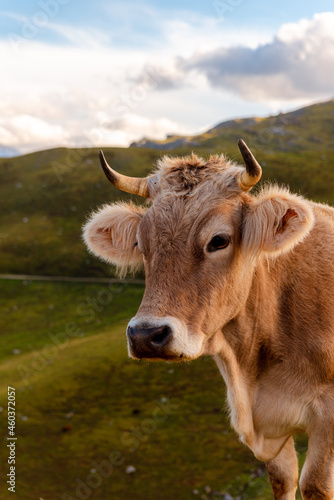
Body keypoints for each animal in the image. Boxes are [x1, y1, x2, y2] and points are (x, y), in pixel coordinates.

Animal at [83, 142, 334, 500]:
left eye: (219, 240)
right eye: (141, 244)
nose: (146, 335)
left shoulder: (327, 417)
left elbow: (315, 484)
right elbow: (283, 479)